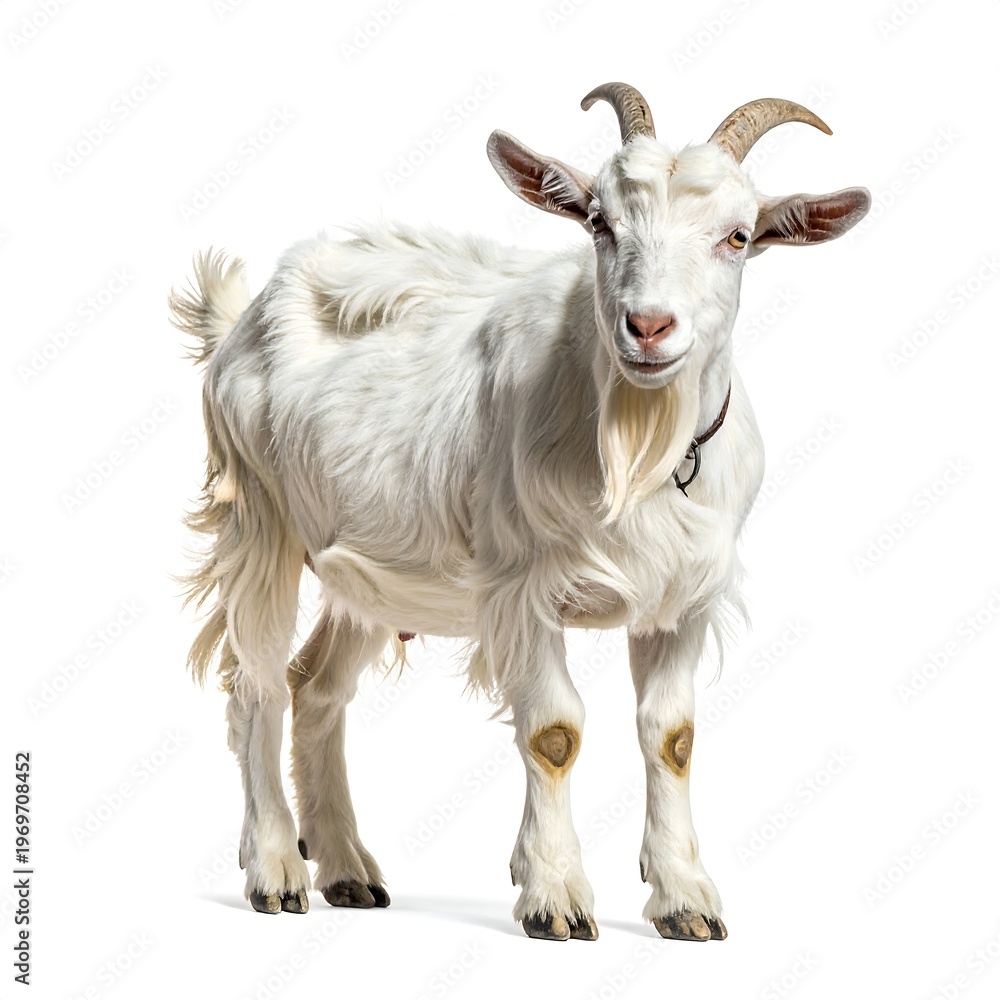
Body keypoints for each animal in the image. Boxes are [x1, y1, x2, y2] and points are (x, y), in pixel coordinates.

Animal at [172, 82, 869, 941]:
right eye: (601, 221)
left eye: (737, 237)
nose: (648, 326)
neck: (635, 444)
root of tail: (241, 319)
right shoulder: (522, 587)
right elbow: (555, 732)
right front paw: (556, 897)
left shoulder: (684, 600)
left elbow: (672, 736)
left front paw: (685, 899)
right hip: (260, 519)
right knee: (258, 685)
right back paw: (275, 868)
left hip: (370, 566)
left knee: (316, 687)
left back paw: (345, 868)